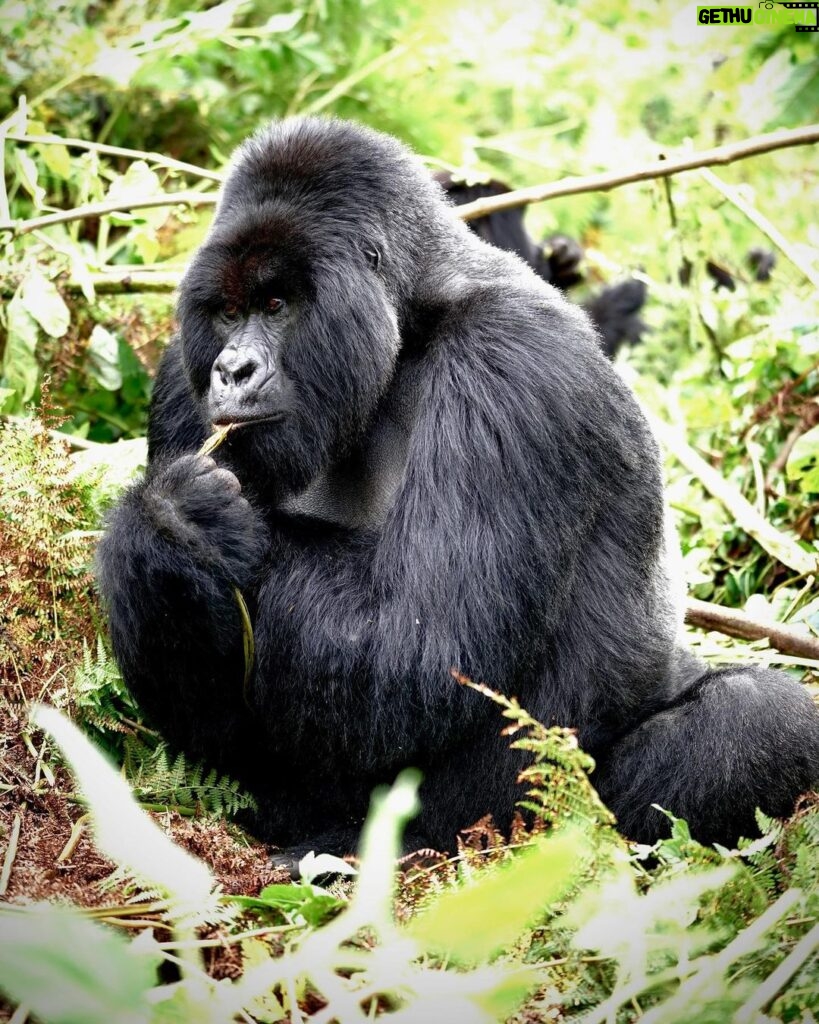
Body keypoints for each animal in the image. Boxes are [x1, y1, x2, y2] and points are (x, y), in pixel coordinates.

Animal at [97, 116, 818, 860]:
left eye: (275, 303)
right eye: (227, 311)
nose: (232, 370)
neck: (410, 319)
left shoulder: (510, 361)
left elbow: (422, 649)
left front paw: (182, 521)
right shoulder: (179, 375)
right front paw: (161, 535)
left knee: (760, 720)